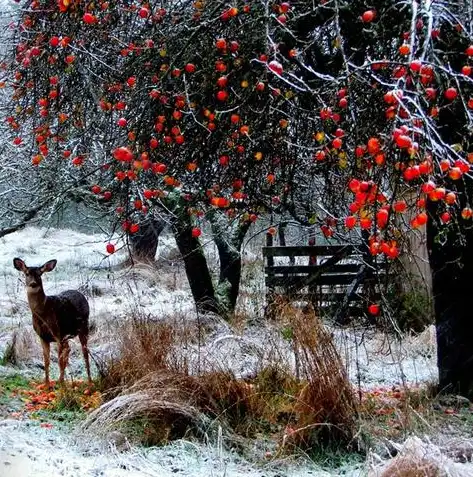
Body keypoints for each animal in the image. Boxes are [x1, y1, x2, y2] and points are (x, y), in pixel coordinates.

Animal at [12, 256, 92, 386]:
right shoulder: (43, 336)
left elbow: (59, 360)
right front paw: (47, 384)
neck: (43, 312)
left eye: (40, 274)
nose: (33, 284)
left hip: (83, 326)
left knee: (84, 352)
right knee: (68, 349)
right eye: (27, 273)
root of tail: (80, 293)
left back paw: (89, 382)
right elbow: (46, 361)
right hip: (66, 335)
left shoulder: (56, 332)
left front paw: (61, 384)